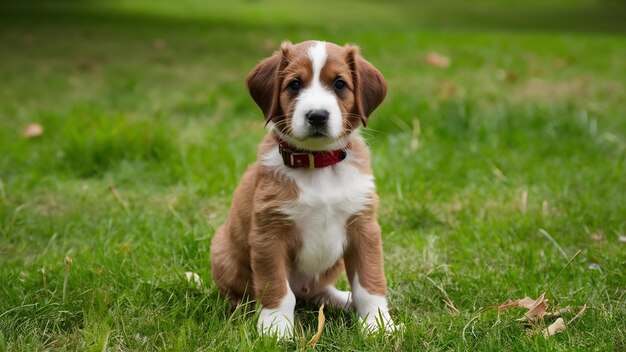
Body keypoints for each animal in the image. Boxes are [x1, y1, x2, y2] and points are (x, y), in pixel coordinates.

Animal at [212, 40, 392, 336]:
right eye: (295, 84)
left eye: (340, 84)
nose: (317, 116)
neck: (318, 164)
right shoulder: (269, 234)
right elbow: (277, 288)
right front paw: (275, 328)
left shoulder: (363, 229)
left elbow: (370, 283)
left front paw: (378, 324)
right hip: (222, 252)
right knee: (247, 297)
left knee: (319, 292)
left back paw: (344, 300)